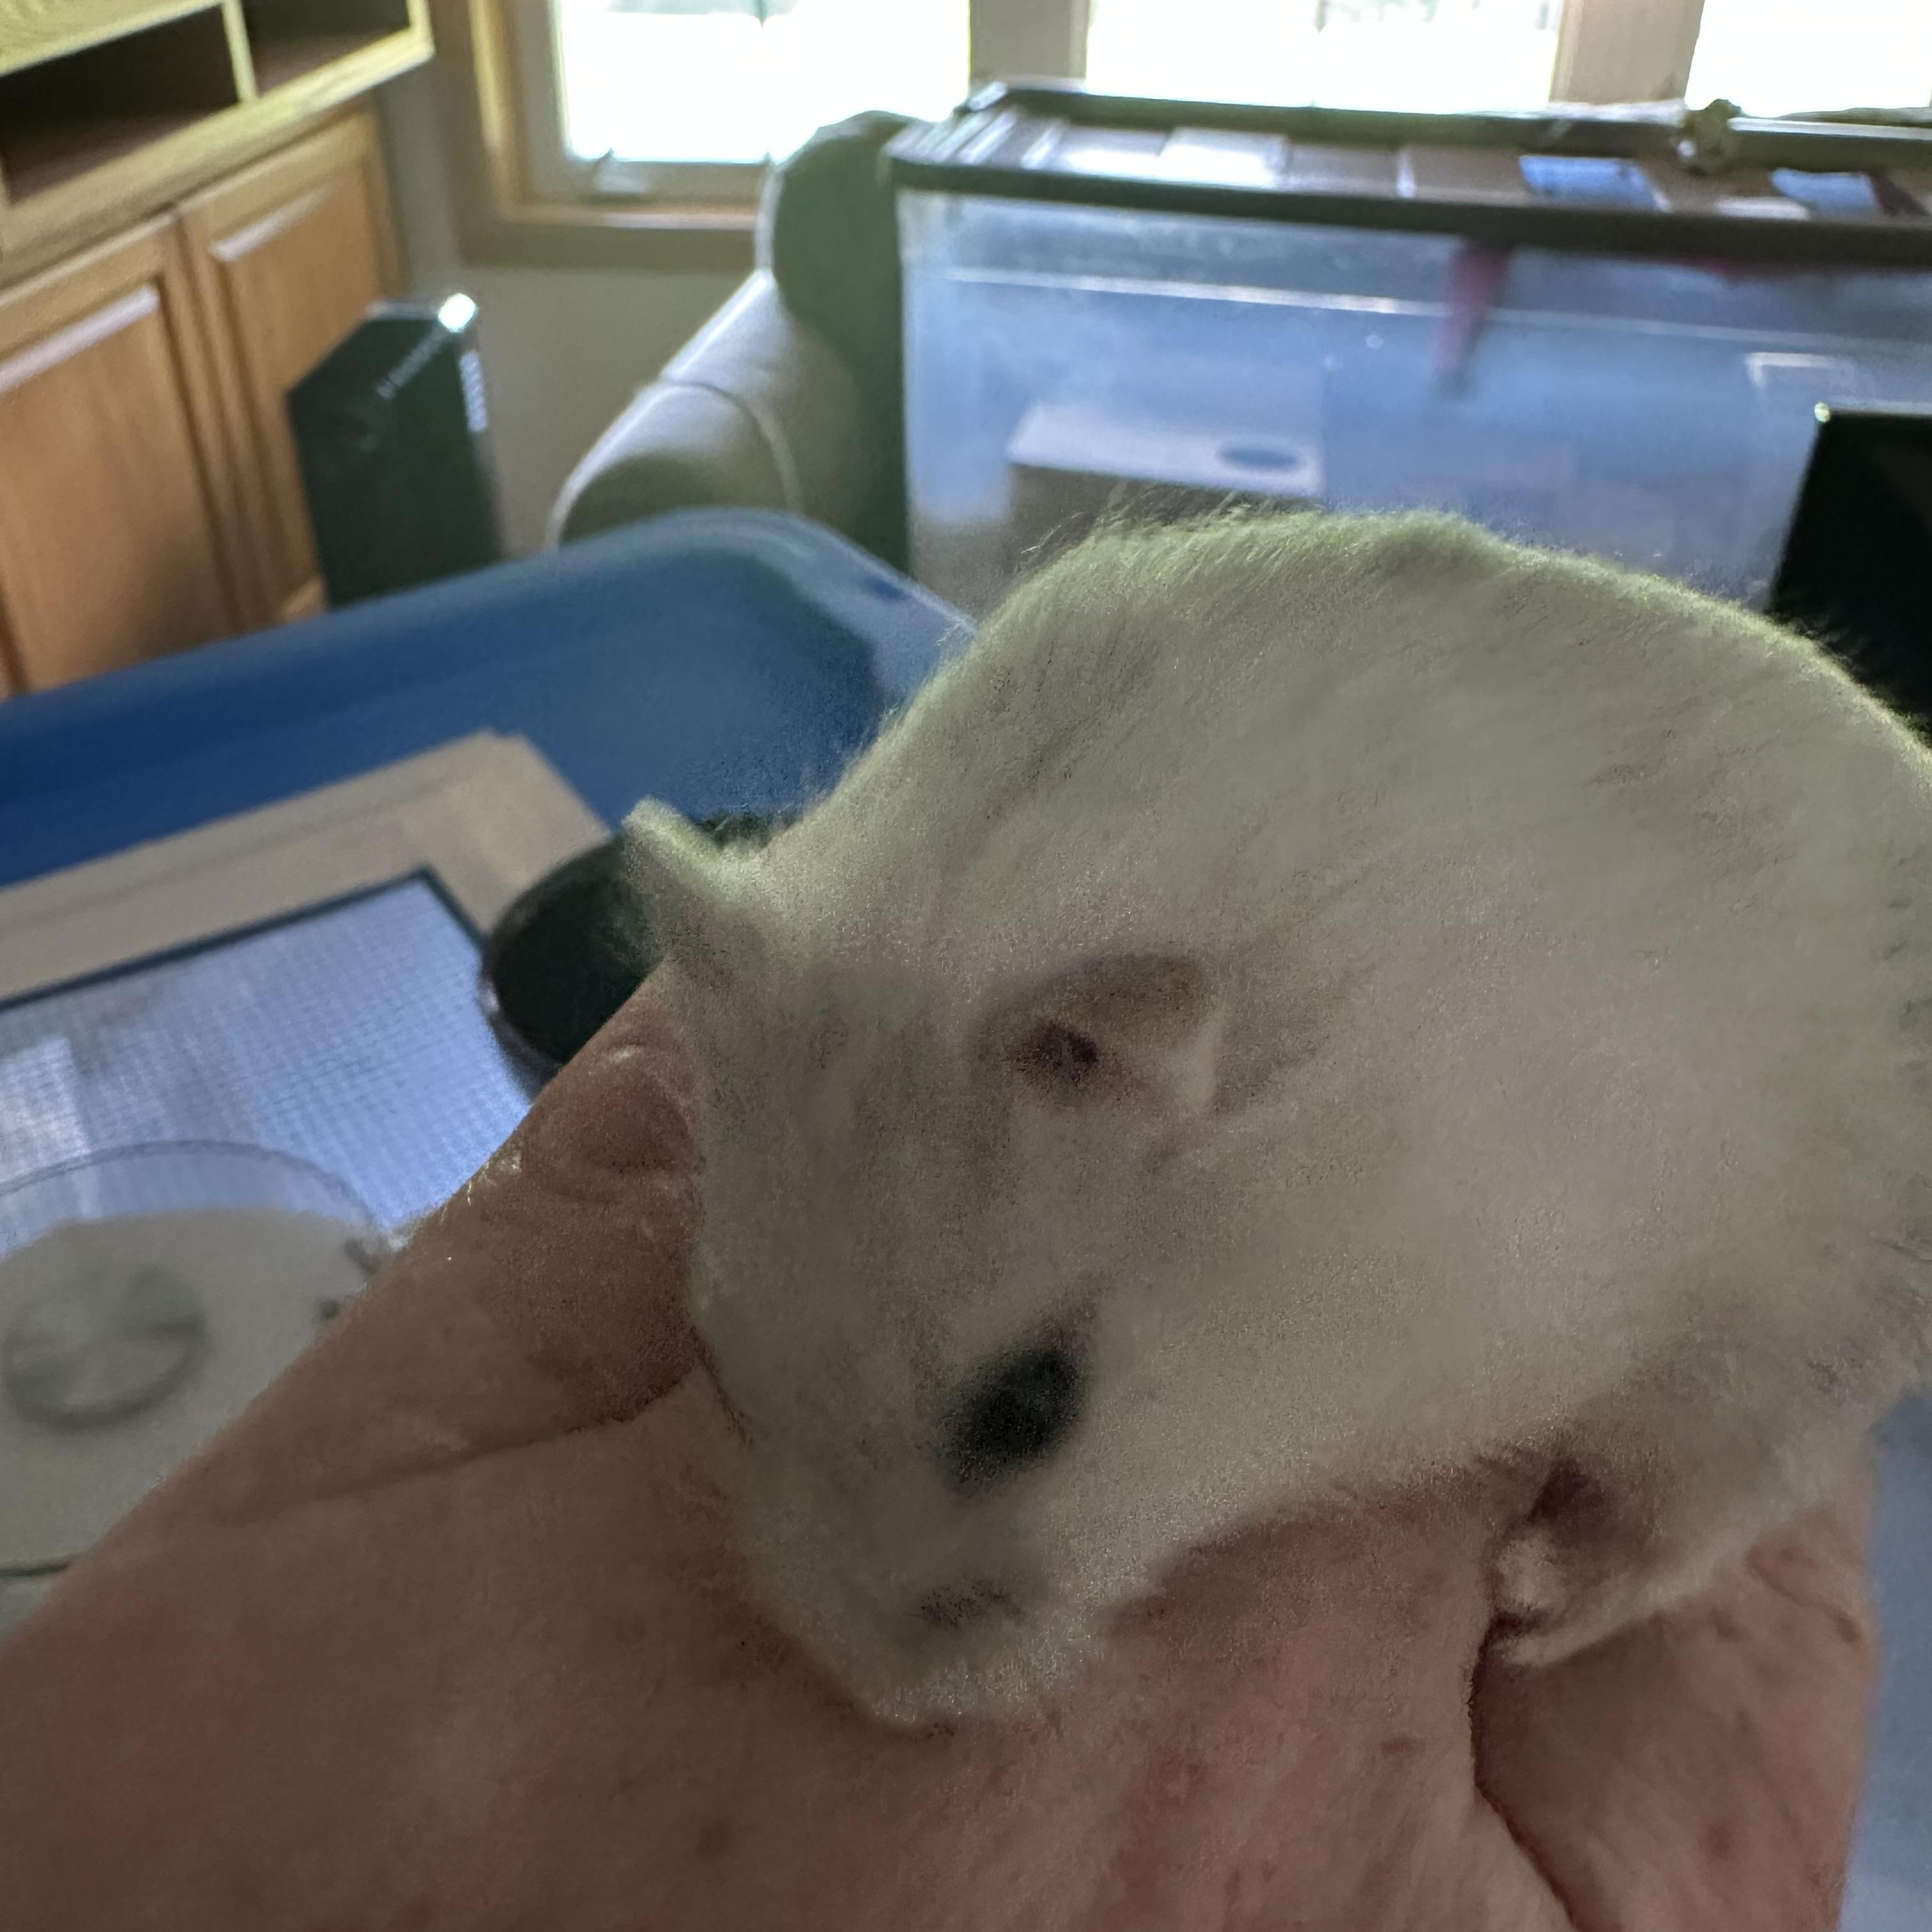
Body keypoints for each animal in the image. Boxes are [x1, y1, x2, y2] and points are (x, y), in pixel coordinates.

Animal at [622, 511, 1932, 1727]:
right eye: (715, 1363)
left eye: (1029, 1408)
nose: (879, 1697)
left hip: (1782, 1353)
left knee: (1691, 1522)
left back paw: (1533, 1595)